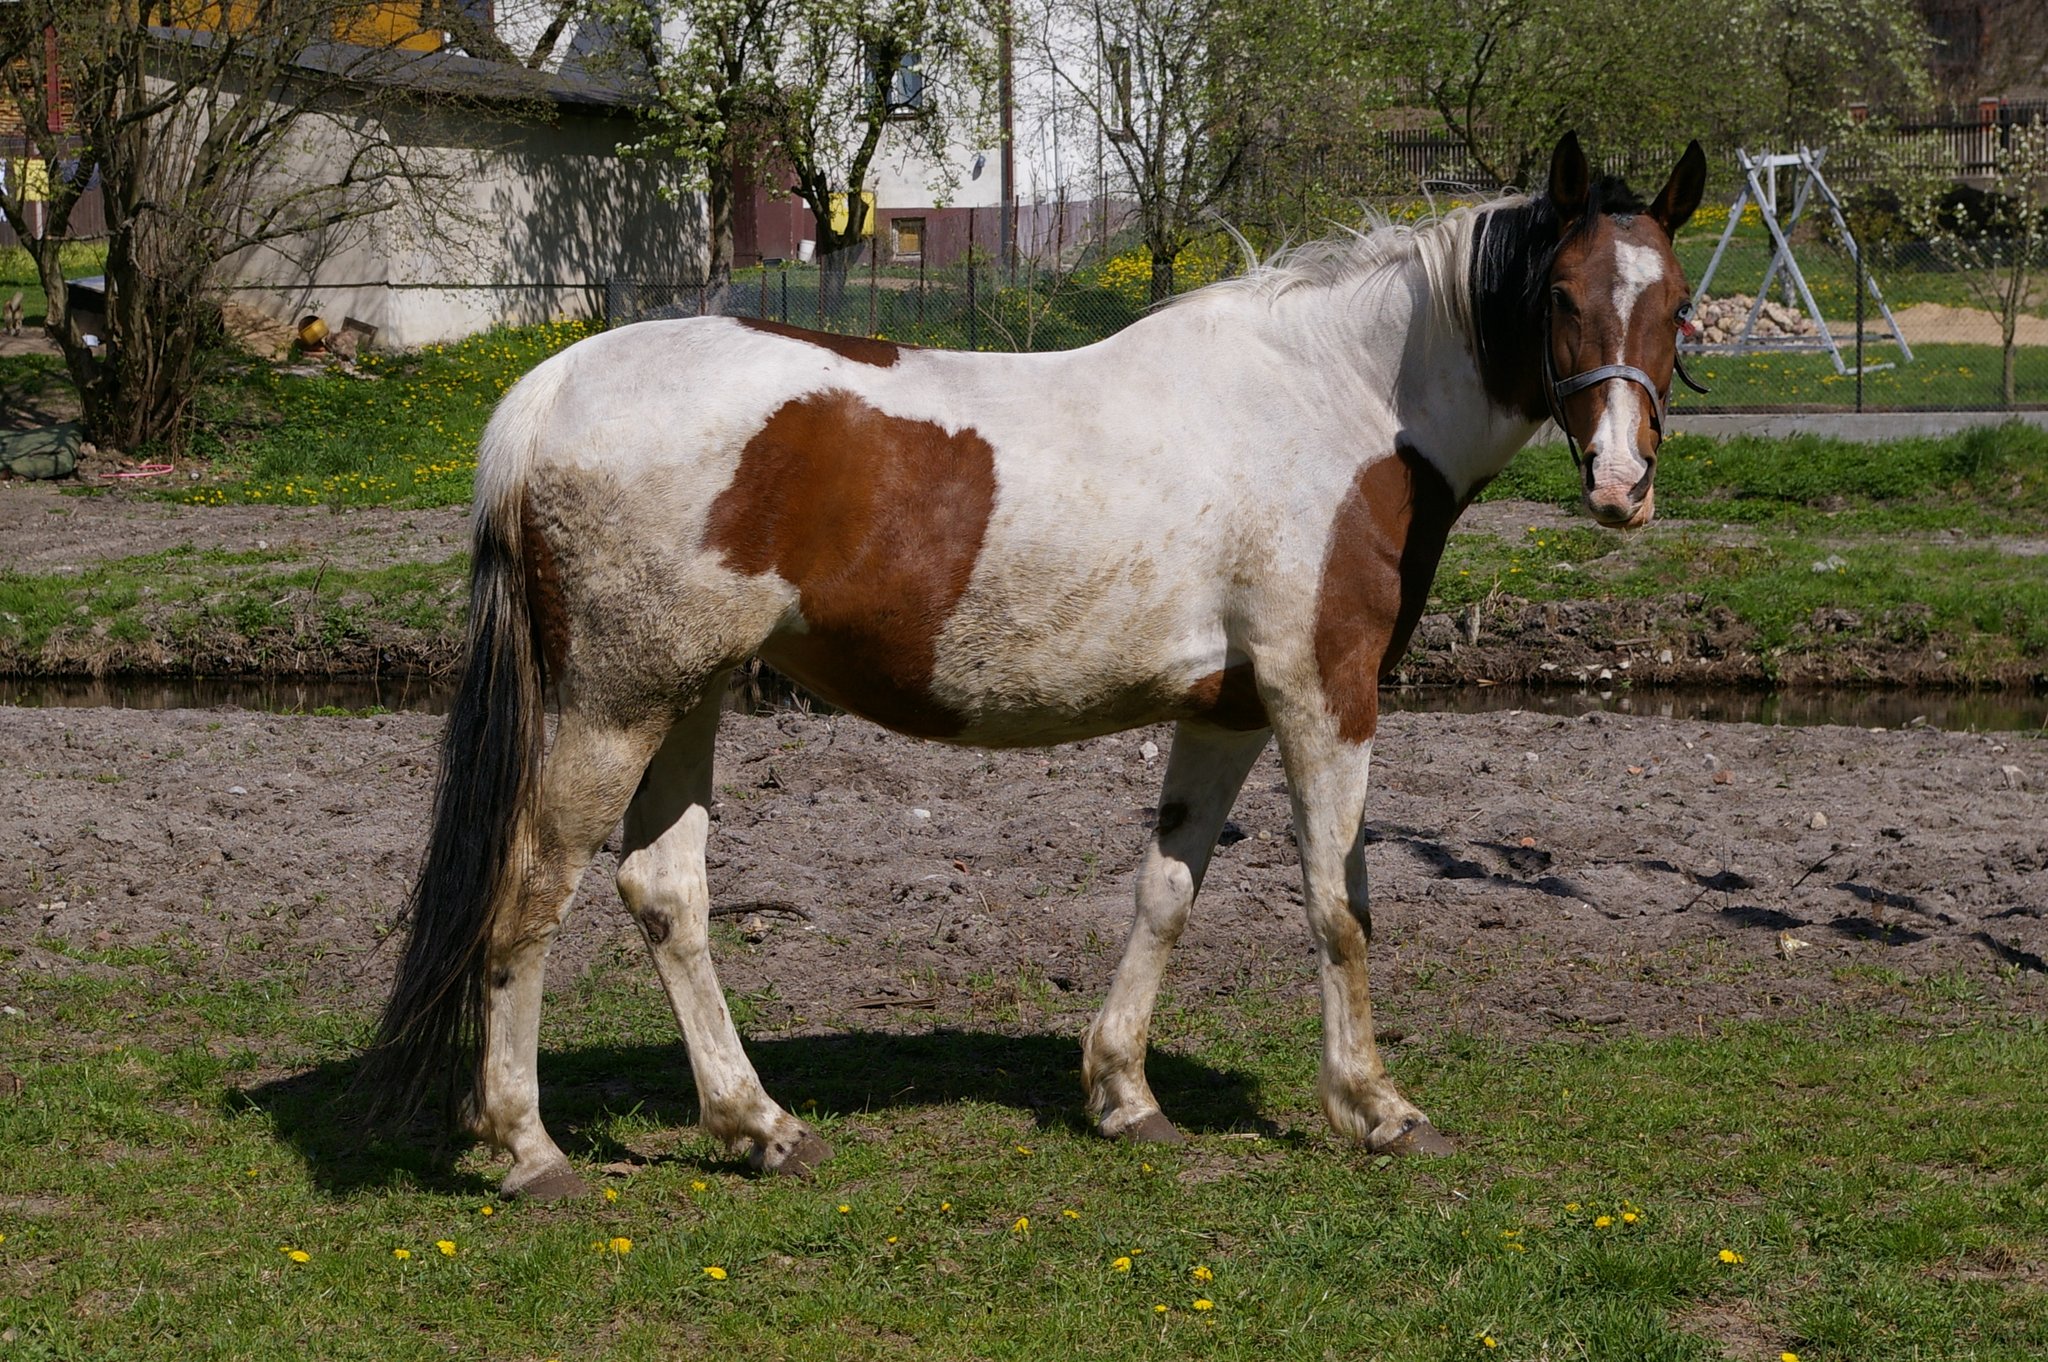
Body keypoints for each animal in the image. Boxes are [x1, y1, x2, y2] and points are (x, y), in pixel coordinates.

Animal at [365, 132, 1706, 1198]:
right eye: (1562, 295)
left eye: (1677, 302)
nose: (1619, 486)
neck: (1338, 405)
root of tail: (551, 387)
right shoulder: (1323, 693)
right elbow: (1341, 904)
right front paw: (1373, 1109)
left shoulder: (1225, 711)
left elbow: (1167, 891)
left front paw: (1123, 1095)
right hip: (613, 705)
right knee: (529, 894)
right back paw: (529, 1151)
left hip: (684, 699)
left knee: (664, 895)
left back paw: (757, 1127)